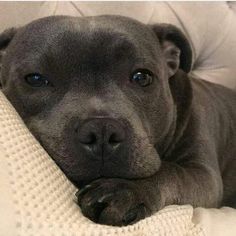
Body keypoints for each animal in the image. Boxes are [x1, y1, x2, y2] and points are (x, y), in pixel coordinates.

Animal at [0, 15, 235, 226]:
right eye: (35, 79)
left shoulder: (204, 175)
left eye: (142, 77)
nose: (101, 130)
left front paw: (126, 190)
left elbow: (173, 172)